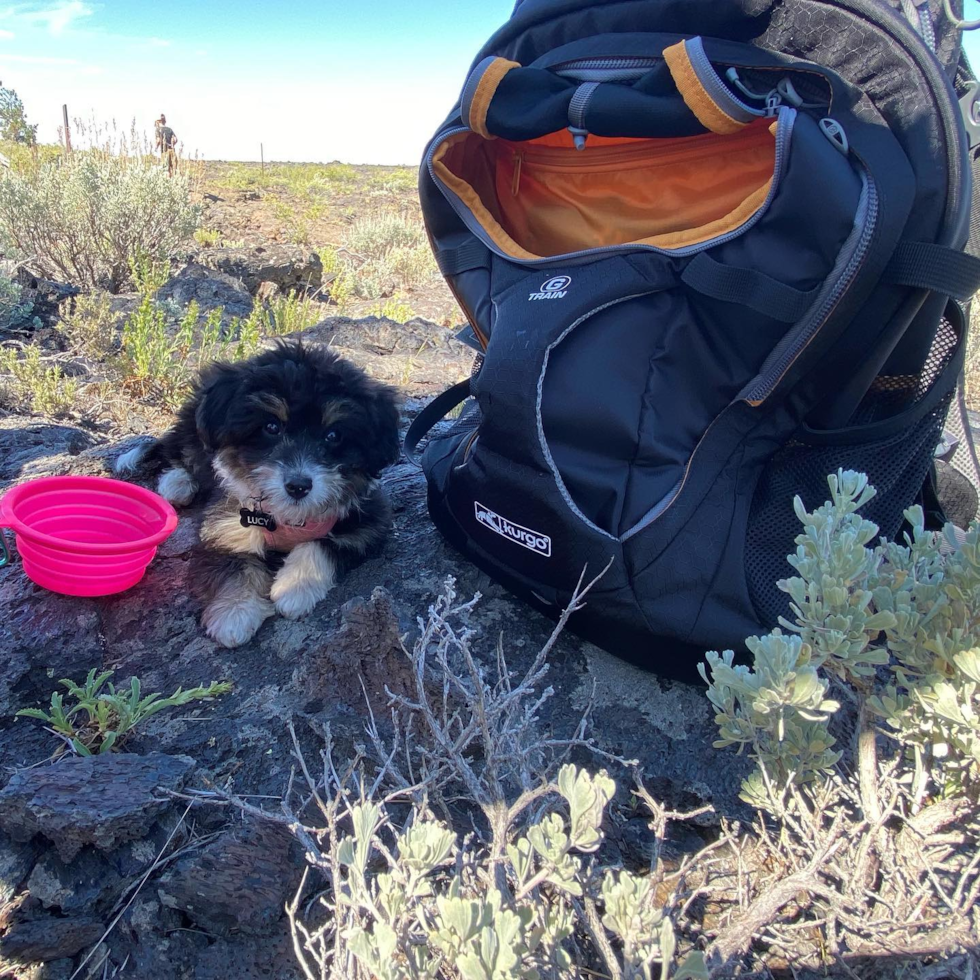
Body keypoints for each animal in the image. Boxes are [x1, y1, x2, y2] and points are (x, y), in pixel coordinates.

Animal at [117, 340, 400, 648]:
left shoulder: (367, 525)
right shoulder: (224, 527)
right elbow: (235, 566)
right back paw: (177, 482)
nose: (298, 486)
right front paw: (235, 613)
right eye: (271, 427)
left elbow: (322, 544)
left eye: (334, 435)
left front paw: (294, 587)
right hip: (194, 429)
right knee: (179, 450)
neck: (288, 516)